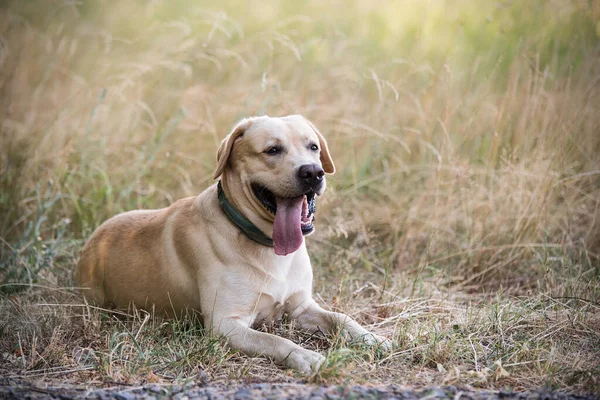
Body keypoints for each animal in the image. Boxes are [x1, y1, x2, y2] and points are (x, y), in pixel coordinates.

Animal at [75, 114, 392, 374]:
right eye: (272, 150)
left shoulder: (301, 307)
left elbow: (341, 318)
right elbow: (274, 340)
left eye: (313, 147)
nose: (313, 172)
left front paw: (371, 337)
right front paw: (305, 356)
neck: (267, 244)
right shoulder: (225, 325)